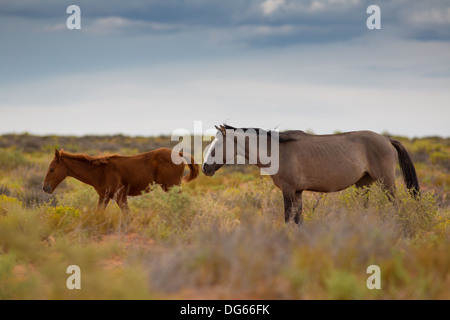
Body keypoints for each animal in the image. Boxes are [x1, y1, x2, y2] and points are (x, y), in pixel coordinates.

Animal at [43, 148, 199, 212]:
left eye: (51, 169)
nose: (45, 188)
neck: (101, 171)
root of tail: (179, 154)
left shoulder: (120, 195)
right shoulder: (104, 197)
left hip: (172, 187)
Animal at [202, 125, 420, 225]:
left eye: (217, 145)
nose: (205, 168)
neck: (278, 152)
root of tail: (387, 139)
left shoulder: (289, 191)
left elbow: (288, 219)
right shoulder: (298, 192)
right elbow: (298, 221)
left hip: (386, 182)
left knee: (397, 206)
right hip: (363, 185)